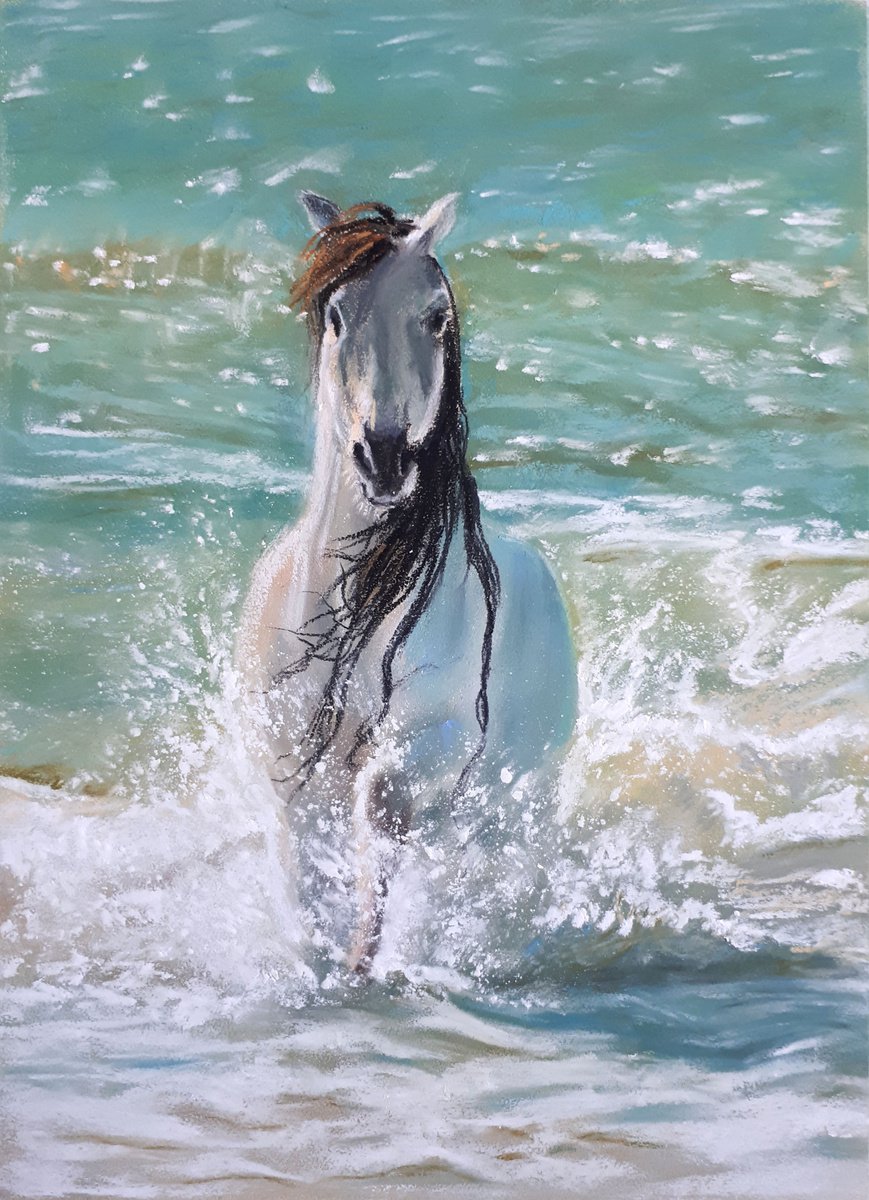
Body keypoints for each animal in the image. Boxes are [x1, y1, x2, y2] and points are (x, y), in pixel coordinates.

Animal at [237, 192, 576, 974]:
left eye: (436, 317)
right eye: (336, 315)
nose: (384, 456)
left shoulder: (434, 738)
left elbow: (384, 803)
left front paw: (362, 961)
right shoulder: (288, 768)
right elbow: (302, 871)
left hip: (516, 799)